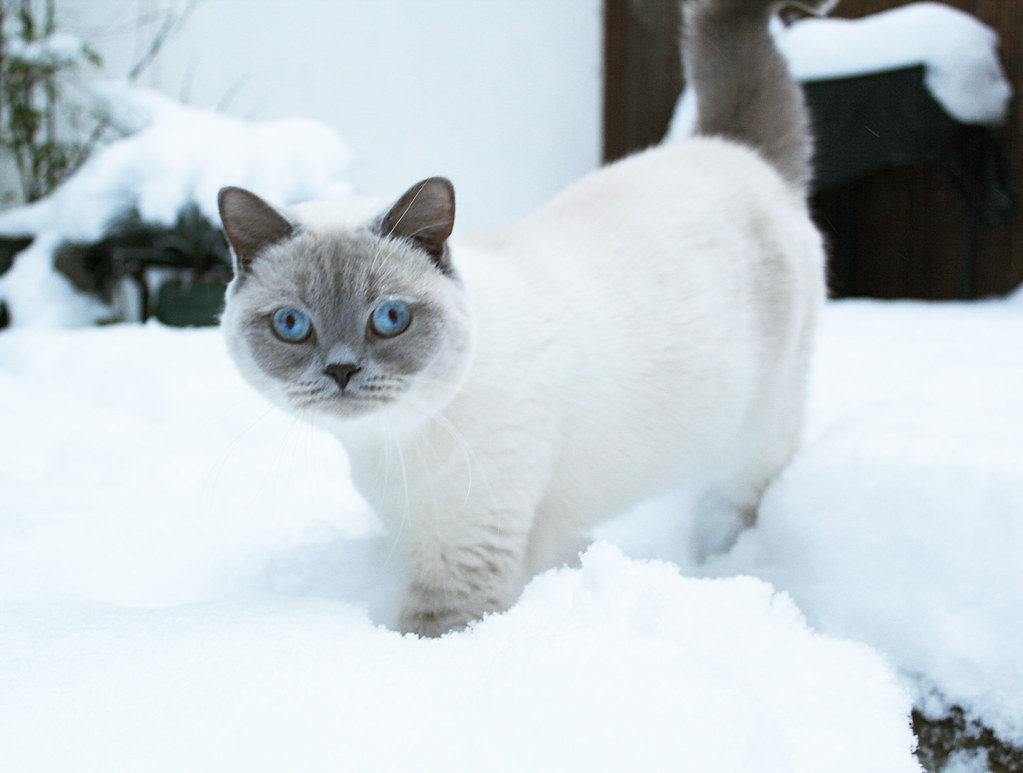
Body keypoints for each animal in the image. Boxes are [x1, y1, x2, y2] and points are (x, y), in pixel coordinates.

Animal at [217, 0, 830, 638]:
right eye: (292, 325)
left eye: (389, 318)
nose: (341, 371)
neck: (386, 447)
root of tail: (731, 146)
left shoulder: (464, 560)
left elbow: (427, 632)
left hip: (759, 434)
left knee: (752, 495)